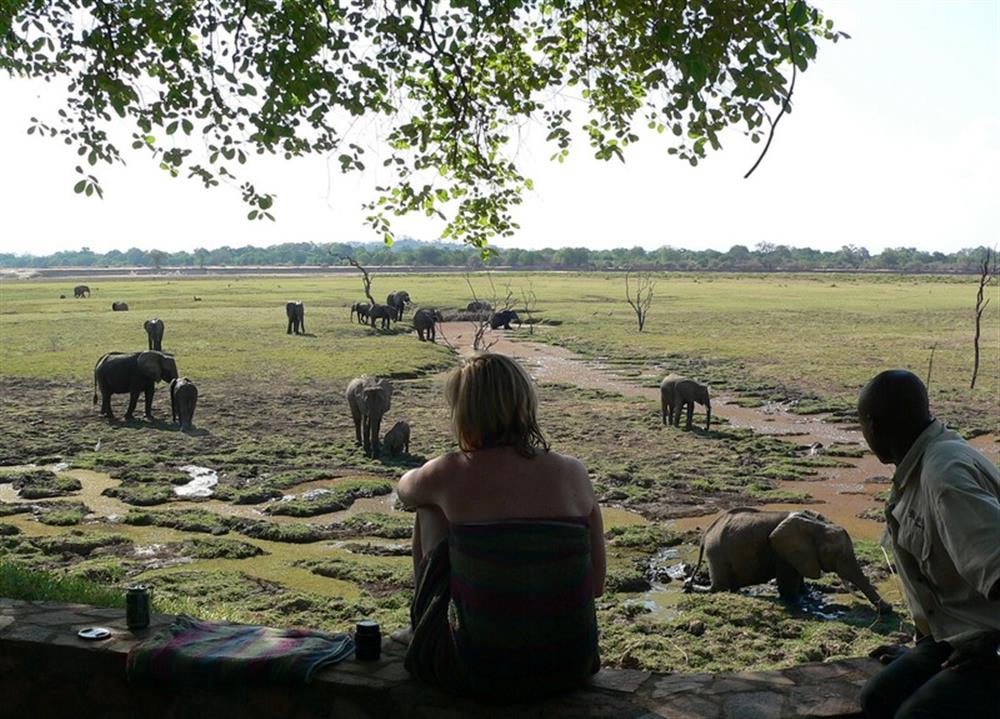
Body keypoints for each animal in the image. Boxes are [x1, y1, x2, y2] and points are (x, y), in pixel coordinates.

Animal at [684, 510, 888, 612]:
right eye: (832, 553)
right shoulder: (781, 552)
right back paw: (691, 587)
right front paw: (796, 602)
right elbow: (788, 586)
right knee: (720, 588)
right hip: (716, 552)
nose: (888, 608)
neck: (817, 524)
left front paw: (807, 596)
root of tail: (706, 533)